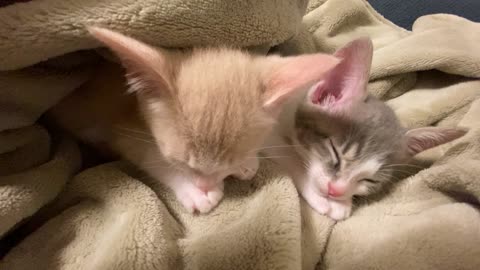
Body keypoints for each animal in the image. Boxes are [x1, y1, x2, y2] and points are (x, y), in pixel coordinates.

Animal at [46, 26, 338, 213]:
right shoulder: (117, 122)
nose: (205, 185)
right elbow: (147, 152)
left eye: (225, 166)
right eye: (180, 162)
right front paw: (191, 188)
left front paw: (246, 163)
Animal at [264, 37, 466, 219]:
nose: (336, 192)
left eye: (370, 179)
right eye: (335, 152)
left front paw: (341, 201)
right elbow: (288, 154)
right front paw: (322, 197)